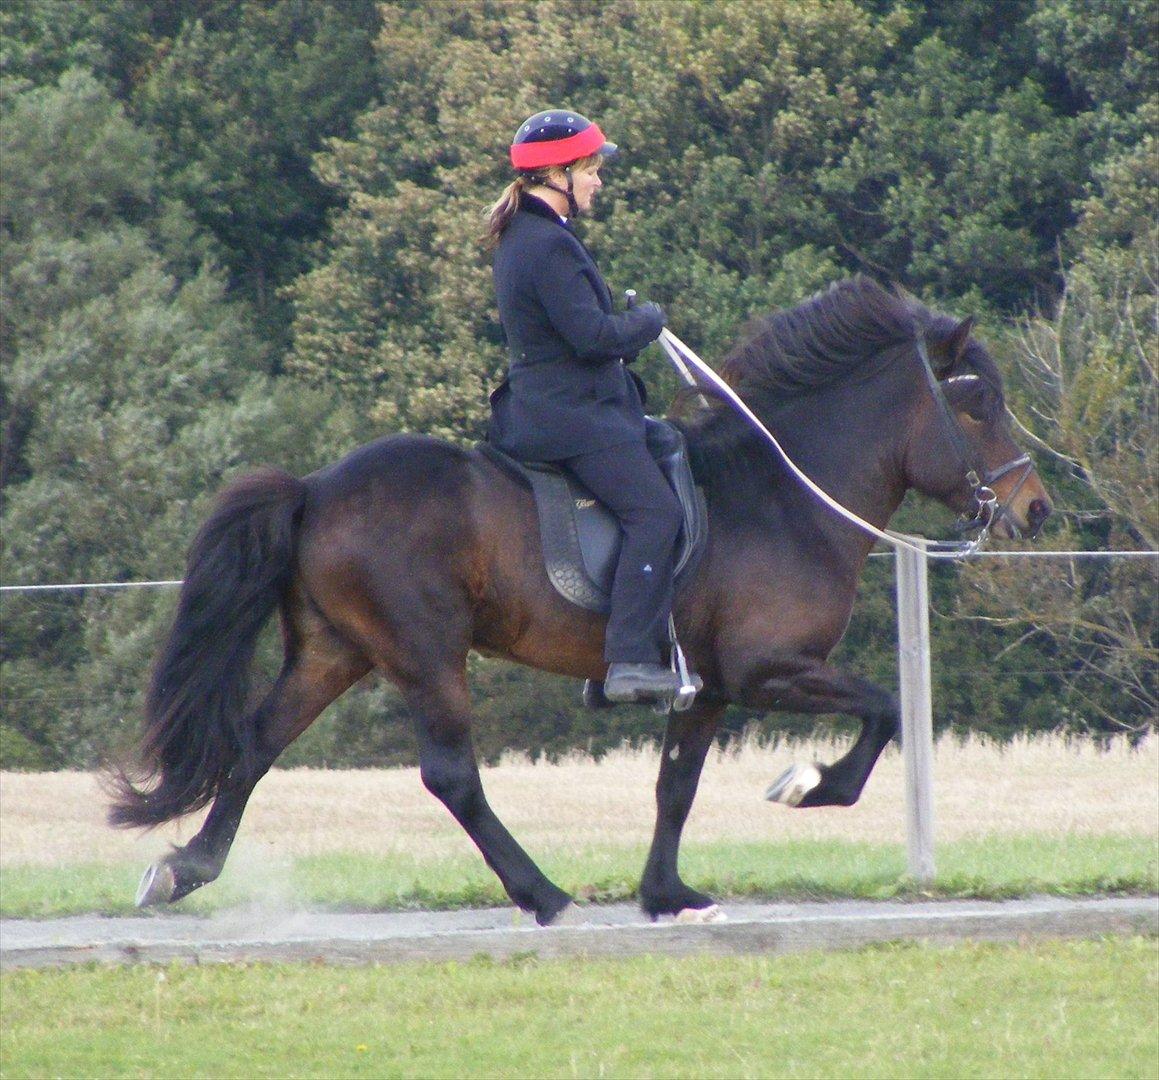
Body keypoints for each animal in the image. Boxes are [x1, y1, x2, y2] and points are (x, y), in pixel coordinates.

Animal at [113, 275, 1057, 917]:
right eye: (977, 403)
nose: (1033, 509)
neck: (782, 495)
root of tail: (314, 488)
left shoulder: (706, 688)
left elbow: (674, 786)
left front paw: (666, 891)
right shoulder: (767, 670)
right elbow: (883, 711)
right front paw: (805, 785)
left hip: (333, 651)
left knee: (256, 744)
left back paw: (185, 868)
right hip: (424, 655)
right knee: (450, 775)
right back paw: (540, 892)